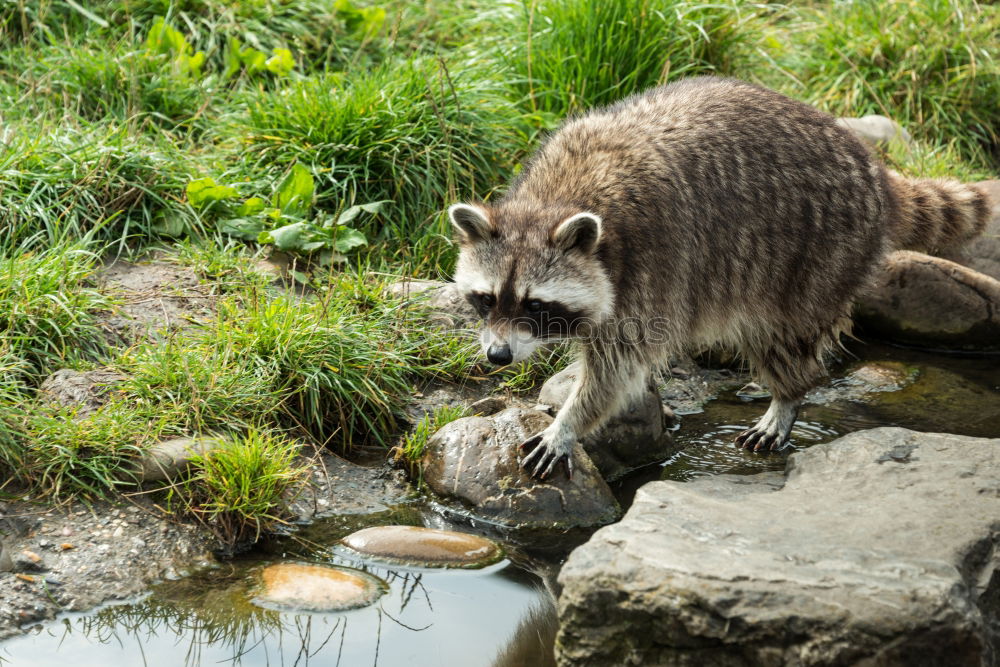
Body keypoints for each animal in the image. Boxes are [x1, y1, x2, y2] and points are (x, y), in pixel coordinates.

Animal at [450, 78, 988, 480]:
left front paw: (570, 423)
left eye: (534, 305)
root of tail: (873, 170)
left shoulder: (650, 266)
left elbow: (615, 368)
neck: (556, 199)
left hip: (817, 250)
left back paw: (788, 395)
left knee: (781, 334)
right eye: (487, 299)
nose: (497, 357)